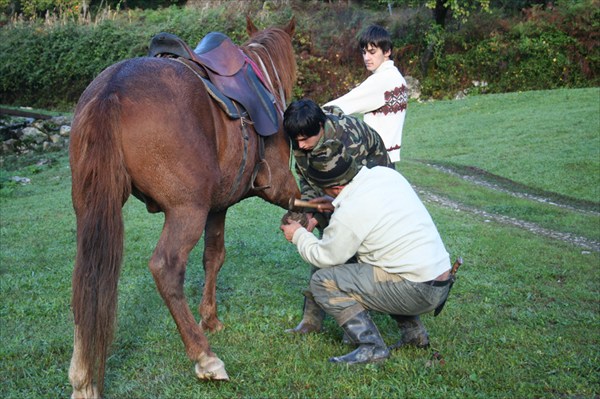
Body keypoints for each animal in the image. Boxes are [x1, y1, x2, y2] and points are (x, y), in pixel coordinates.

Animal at [69, 17, 298, 398]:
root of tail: (112, 88)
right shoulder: (277, 184)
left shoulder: (217, 207)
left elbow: (213, 257)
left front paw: (211, 317)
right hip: (185, 210)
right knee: (166, 268)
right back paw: (205, 357)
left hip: (92, 210)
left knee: (87, 280)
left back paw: (82, 377)